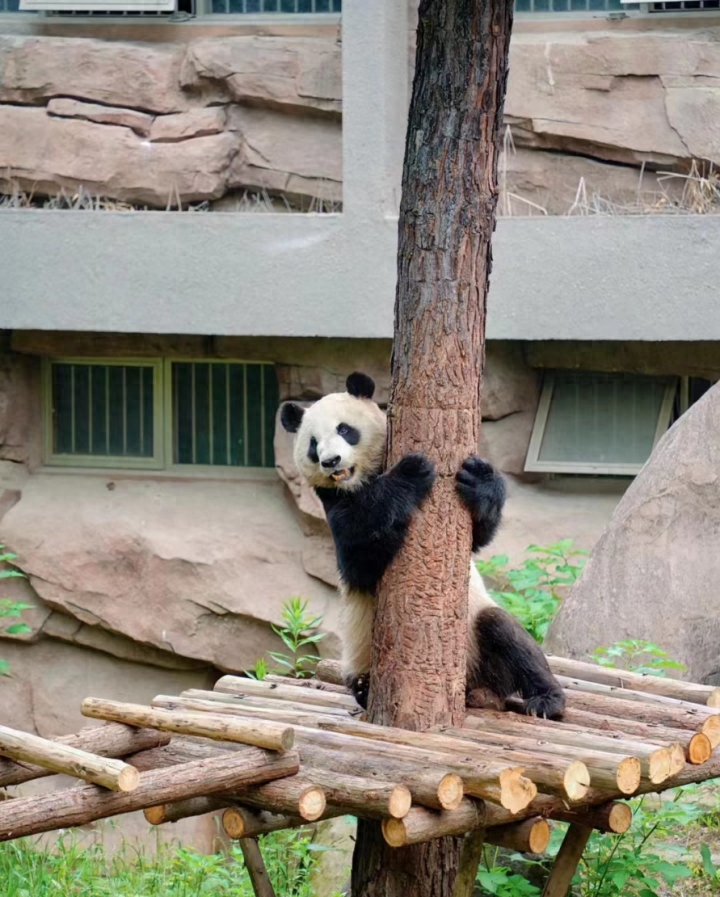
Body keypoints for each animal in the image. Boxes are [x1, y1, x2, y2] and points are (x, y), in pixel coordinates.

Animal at [278, 372, 564, 720]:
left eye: (344, 429)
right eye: (312, 443)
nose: (331, 461)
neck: (357, 482)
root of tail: (475, 687)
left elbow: (477, 538)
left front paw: (478, 478)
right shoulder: (334, 506)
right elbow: (359, 556)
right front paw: (410, 473)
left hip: (478, 636)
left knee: (506, 633)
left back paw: (547, 700)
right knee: (360, 682)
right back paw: (365, 688)